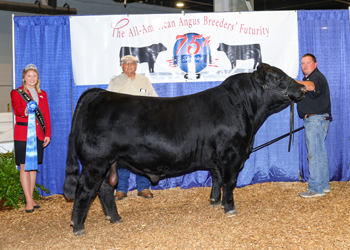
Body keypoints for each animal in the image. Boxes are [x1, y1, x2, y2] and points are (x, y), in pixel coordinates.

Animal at [64, 62, 304, 234]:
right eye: (276, 78)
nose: (302, 87)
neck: (243, 108)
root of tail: (99, 93)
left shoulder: (217, 159)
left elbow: (216, 179)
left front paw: (214, 202)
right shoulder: (232, 155)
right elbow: (229, 182)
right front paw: (229, 208)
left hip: (109, 163)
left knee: (105, 189)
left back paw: (115, 218)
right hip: (96, 162)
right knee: (85, 189)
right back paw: (78, 226)